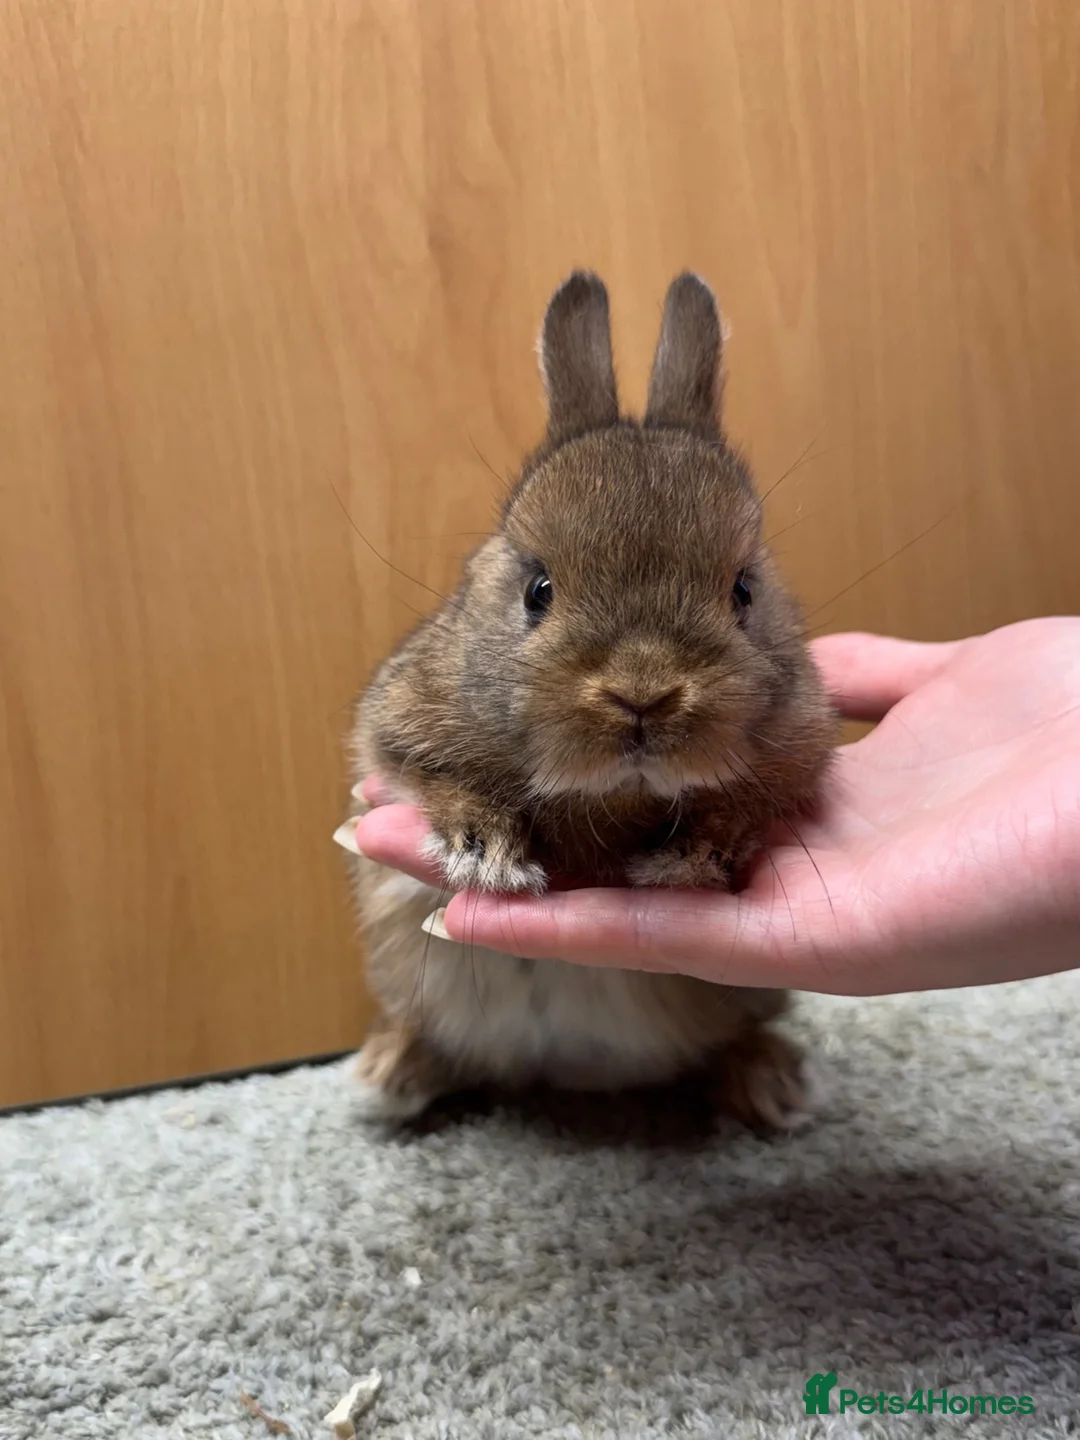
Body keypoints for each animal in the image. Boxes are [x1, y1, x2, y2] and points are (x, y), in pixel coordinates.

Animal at [338, 271, 838, 1130]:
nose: (642, 696)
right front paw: (487, 853)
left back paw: (774, 1085)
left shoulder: (796, 752)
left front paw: (686, 857)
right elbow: (439, 781)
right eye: (538, 590)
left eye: (742, 591)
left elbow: (745, 806)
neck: (612, 796)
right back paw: (387, 1079)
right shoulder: (399, 725)